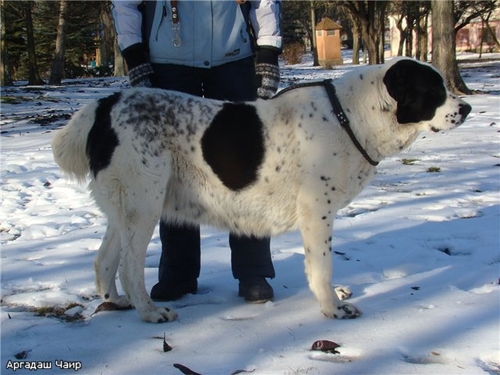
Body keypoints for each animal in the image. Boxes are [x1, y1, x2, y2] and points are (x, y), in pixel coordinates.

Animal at [52, 58, 470, 324]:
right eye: (434, 89)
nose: (465, 108)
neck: (351, 115)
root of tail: (103, 106)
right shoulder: (317, 210)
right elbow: (322, 264)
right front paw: (332, 308)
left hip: (124, 207)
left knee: (104, 259)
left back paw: (118, 303)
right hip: (143, 204)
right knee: (128, 266)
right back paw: (151, 312)